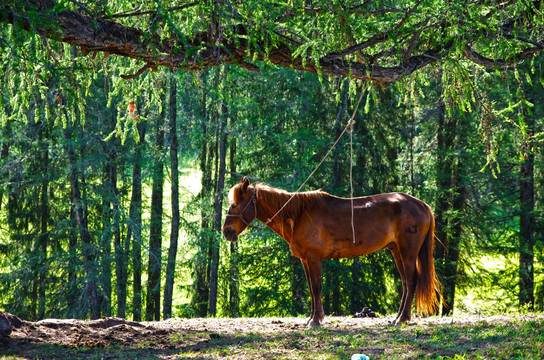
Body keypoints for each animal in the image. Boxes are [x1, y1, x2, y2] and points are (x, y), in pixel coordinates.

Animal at [223, 177, 440, 326]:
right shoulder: (305, 260)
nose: (226, 232)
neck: (298, 215)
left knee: (411, 280)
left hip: (408, 251)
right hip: (396, 251)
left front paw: (316, 320)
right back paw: (398, 317)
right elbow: (312, 289)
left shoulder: (314, 258)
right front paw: (312, 318)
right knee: (405, 282)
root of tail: (422, 205)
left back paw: (402, 318)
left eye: (235, 204)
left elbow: (316, 287)